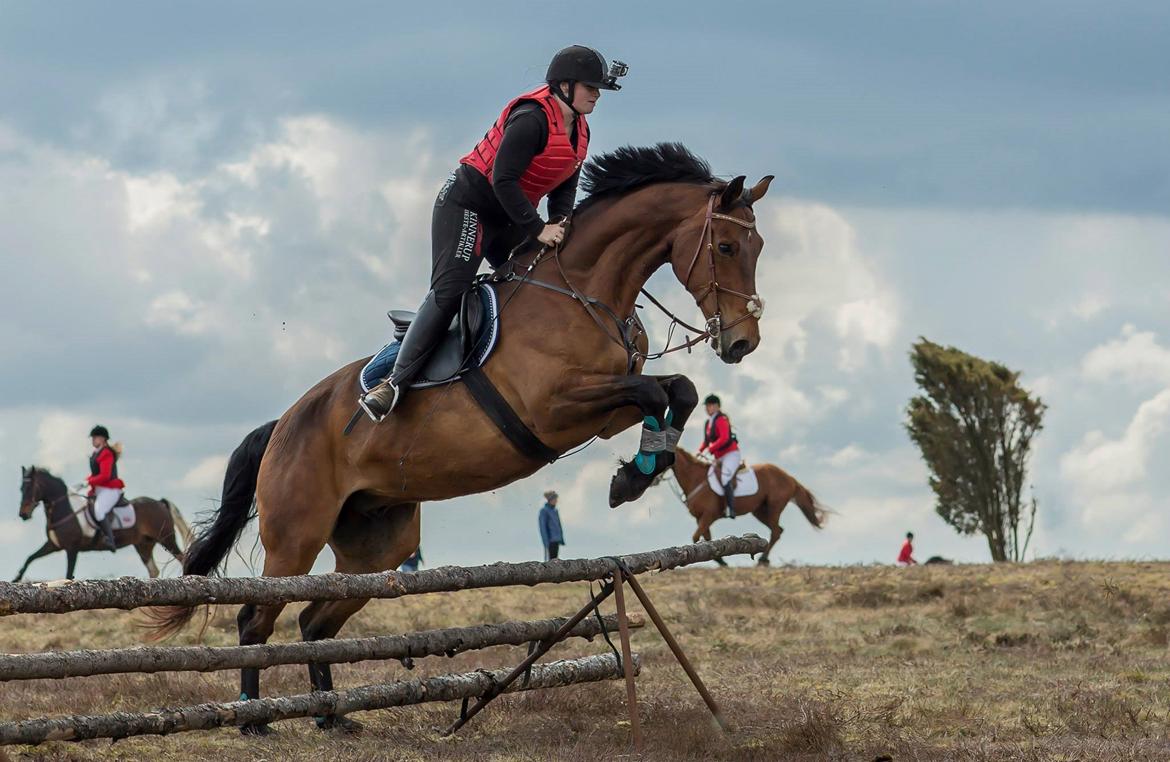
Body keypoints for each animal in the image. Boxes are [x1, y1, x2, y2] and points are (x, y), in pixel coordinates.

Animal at [14, 465, 193, 585]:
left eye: (30, 487)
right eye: (21, 488)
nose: (23, 514)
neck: (63, 509)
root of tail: (160, 503)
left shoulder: (72, 548)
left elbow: (68, 573)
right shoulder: (53, 545)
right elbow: (30, 558)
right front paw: (16, 578)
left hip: (166, 539)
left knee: (182, 558)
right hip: (143, 544)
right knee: (153, 570)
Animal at [155, 142, 776, 735]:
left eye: (759, 246)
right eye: (725, 247)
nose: (742, 342)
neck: (582, 291)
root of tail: (282, 424)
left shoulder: (606, 410)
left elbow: (678, 390)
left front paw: (638, 472)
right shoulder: (554, 408)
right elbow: (652, 391)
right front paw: (632, 478)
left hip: (379, 545)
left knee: (315, 621)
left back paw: (329, 714)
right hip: (295, 536)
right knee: (256, 618)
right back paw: (253, 718)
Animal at [669, 447, 823, 566]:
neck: (695, 479)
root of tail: (790, 477)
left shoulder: (709, 515)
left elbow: (696, 537)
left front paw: (720, 561)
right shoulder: (700, 517)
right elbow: (707, 538)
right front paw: (720, 560)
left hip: (774, 507)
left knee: (775, 531)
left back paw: (762, 560)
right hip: (760, 511)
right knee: (778, 530)